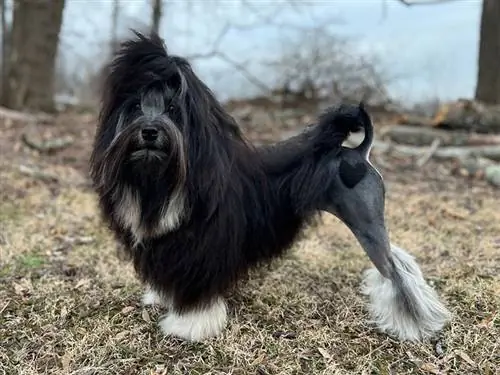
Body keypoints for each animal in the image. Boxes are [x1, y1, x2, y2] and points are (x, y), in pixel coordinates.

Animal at [90, 31, 454, 344]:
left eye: (172, 110)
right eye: (135, 108)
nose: (149, 131)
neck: (162, 179)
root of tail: (356, 152)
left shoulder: (203, 250)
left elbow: (198, 293)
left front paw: (188, 326)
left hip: (367, 223)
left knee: (395, 269)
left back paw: (414, 323)